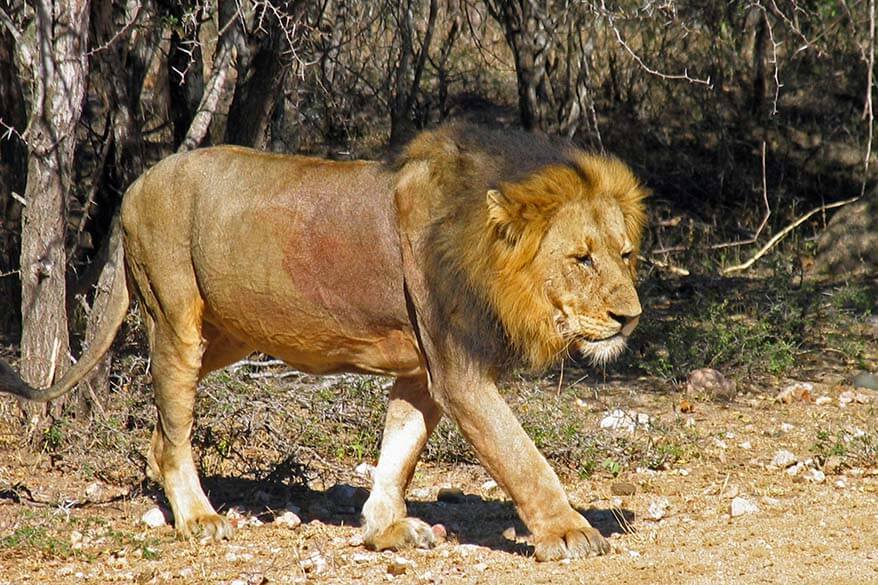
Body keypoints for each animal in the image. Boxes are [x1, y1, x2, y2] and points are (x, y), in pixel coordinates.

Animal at [0, 124, 648, 560]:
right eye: (581, 258)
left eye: (625, 254)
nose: (630, 317)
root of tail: (136, 184)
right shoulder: (458, 372)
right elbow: (521, 457)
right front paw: (569, 531)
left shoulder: (423, 370)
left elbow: (400, 450)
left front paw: (386, 528)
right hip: (175, 316)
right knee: (175, 429)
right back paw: (199, 518)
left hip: (224, 336)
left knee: (162, 431)